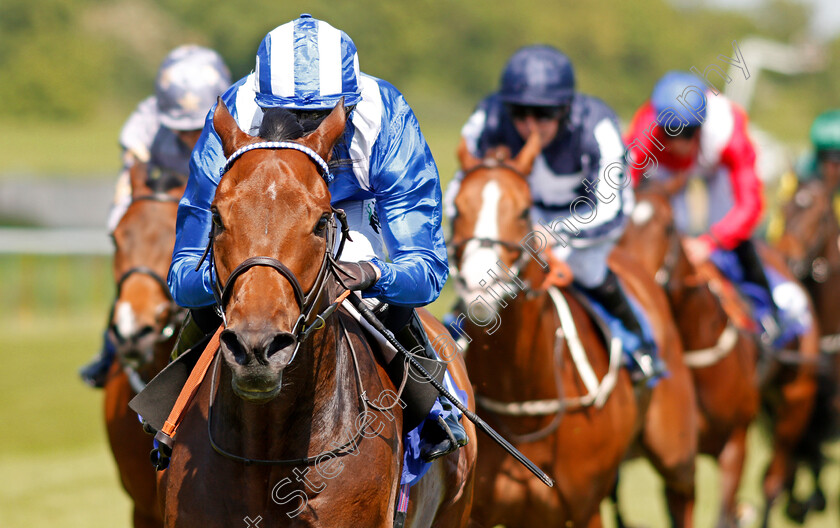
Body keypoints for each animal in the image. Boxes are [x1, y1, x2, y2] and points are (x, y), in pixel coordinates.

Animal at [452, 140, 696, 528]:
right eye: (457, 208)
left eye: (524, 211)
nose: (480, 283)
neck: (525, 399)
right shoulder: (483, 513)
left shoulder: (584, 509)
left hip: (676, 449)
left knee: (683, 495)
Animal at [616, 191, 760, 528]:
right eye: (622, 225)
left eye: (669, 226)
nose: (636, 276)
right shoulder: (679, 464)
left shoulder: (736, 442)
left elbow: (724, 513)